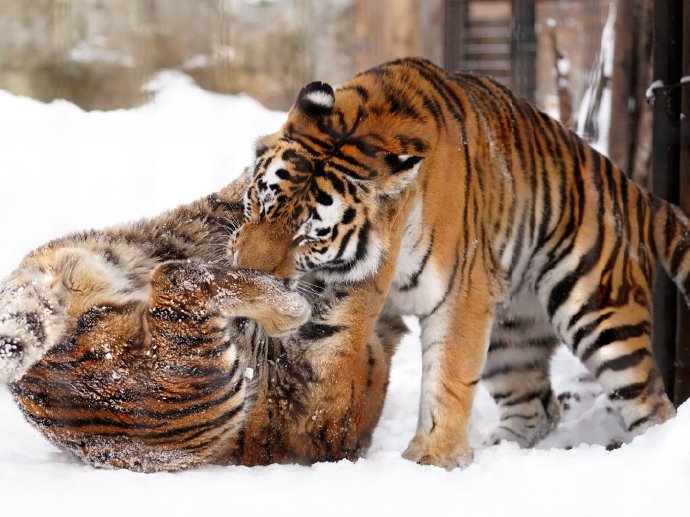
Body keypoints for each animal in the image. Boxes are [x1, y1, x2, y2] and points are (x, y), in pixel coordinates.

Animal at [0, 176, 406, 472]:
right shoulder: (339, 360)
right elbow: (376, 276)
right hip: (183, 363)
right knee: (182, 277)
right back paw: (287, 306)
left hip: (155, 245)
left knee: (200, 242)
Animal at [226, 56, 684, 468]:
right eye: (262, 203)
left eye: (308, 235)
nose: (245, 273)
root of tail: (630, 186)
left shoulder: (461, 294)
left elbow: (447, 376)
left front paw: (433, 458)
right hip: (510, 336)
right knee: (537, 407)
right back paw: (499, 450)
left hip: (600, 313)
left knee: (651, 403)